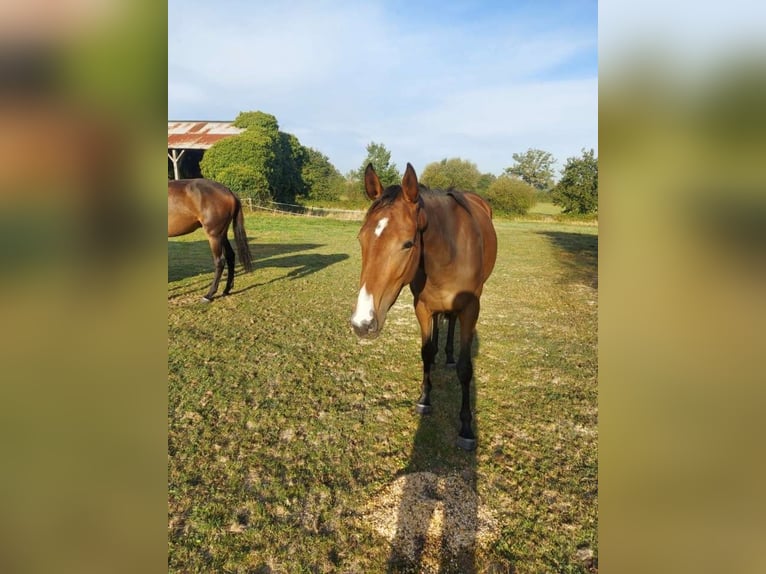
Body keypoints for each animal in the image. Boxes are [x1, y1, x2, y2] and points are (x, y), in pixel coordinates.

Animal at [350, 163, 497, 450]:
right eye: (361, 239)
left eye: (408, 243)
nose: (362, 323)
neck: (449, 252)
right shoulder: (422, 306)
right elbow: (426, 352)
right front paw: (424, 398)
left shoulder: (471, 308)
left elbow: (466, 368)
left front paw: (466, 428)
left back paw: (449, 356)